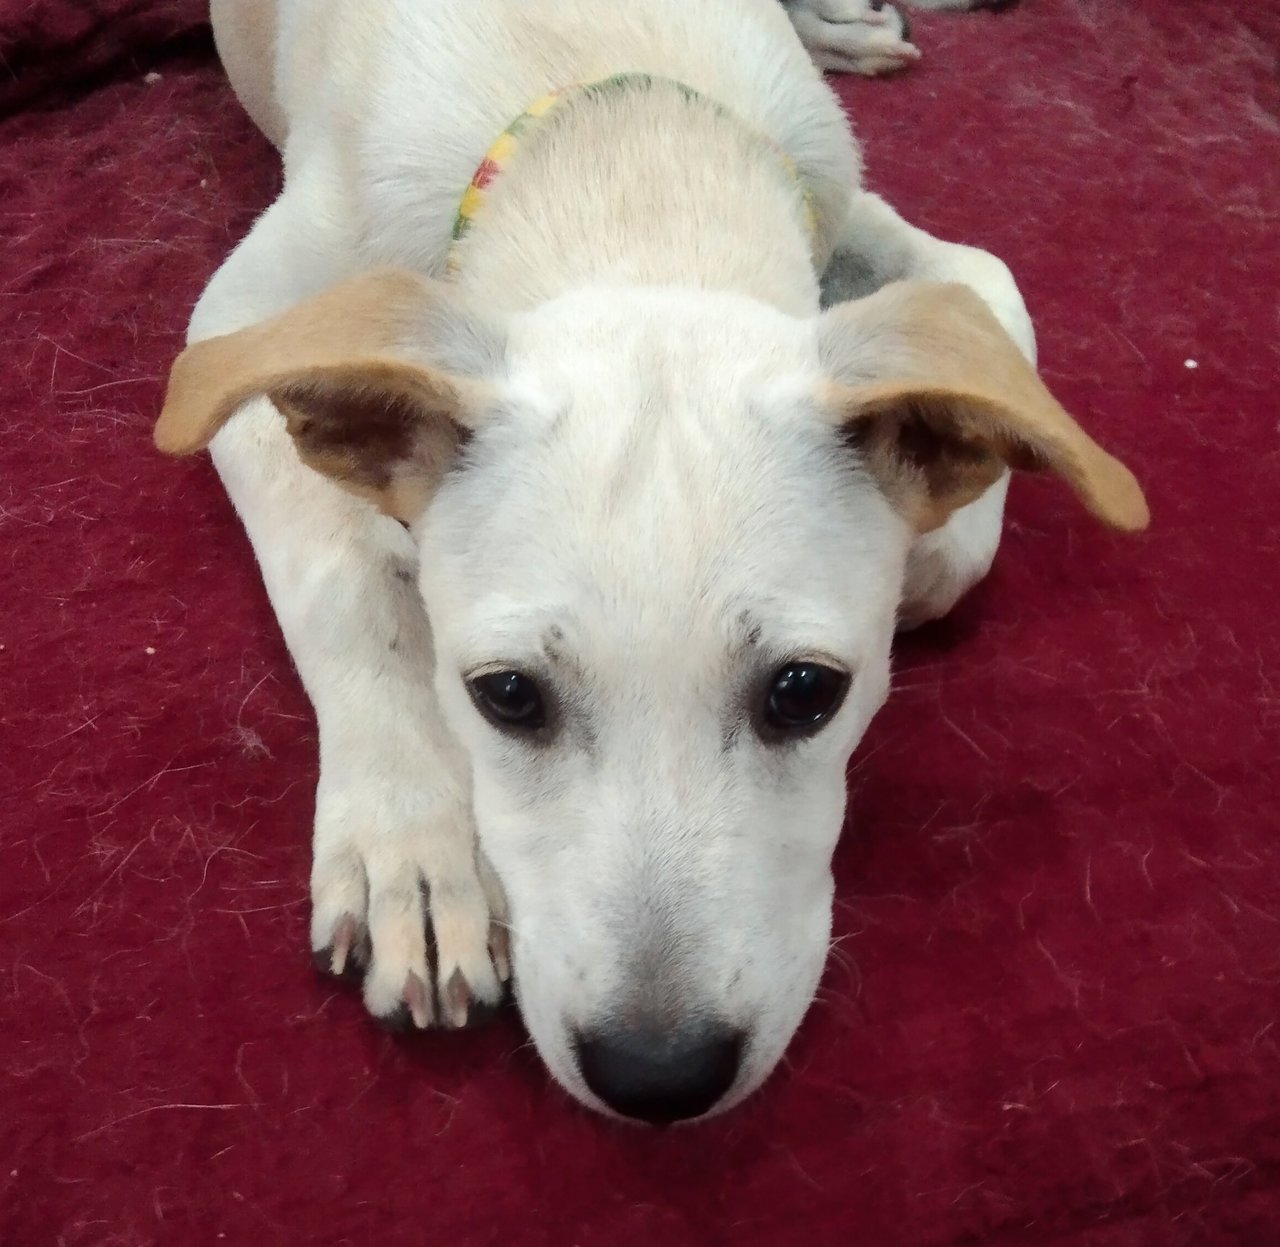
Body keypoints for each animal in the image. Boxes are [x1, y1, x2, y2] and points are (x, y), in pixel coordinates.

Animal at [154, 0, 1146, 1126]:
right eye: (504, 696)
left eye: (806, 691)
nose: (658, 1075)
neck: (620, 157)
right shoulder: (237, 325)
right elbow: (347, 576)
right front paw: (415, 844)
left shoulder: (835, 196)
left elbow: (986, 285)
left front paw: (935, 535)